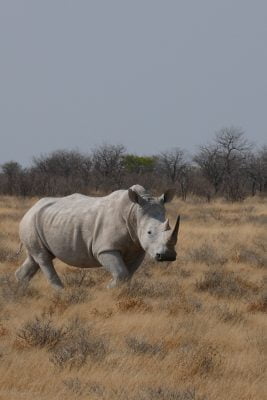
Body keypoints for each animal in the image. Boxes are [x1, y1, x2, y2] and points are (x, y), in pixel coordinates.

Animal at [15, 186, 180, 290]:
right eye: (149, 232)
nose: (168, 256)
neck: (133, 212)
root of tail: (31, 207)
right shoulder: (105, 249)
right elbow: (121, 274)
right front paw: (107, 289)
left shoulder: (138, 249)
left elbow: (128, 275)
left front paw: (116, 290)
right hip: (30, 221)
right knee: (43, 258)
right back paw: (61, 293)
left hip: (39, 222)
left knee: (35, 258)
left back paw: (19, 289)